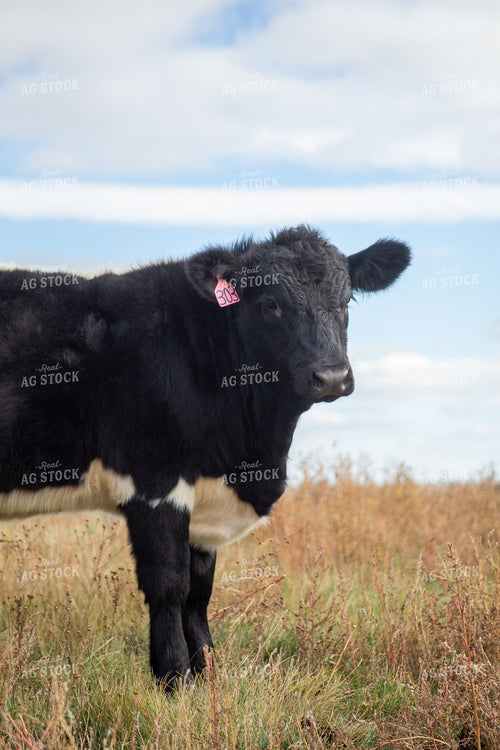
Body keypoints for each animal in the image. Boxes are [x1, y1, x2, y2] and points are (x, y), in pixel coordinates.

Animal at [0, 225, 410, 691]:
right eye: (270, 303)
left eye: (347, 300)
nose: (332, 377)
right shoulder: (155, 482)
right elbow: (169, 586)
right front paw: (175, 681)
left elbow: (199, 595)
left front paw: (209, 676)